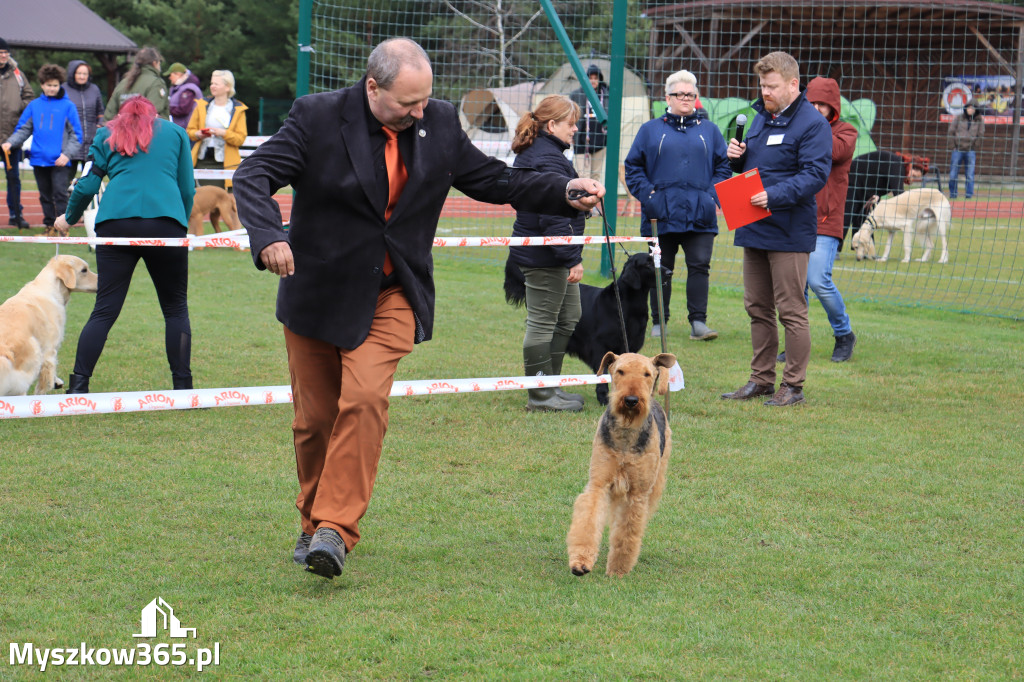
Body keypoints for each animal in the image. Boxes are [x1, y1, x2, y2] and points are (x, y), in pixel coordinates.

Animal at [501, 253, 663, 403]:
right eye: (648, 264)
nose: (667, 272)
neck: (626, 305)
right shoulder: (600, 346)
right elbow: (603, 374)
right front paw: (603, 397)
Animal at [573, 350, 675, 573]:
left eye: (646, 374)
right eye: (620, 371)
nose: (631, 400)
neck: (626, 432)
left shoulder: (637, 493)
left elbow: (627, 533)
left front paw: (618, 570)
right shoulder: (599, 483)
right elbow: (588, 521)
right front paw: (580, 562)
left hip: (654, 483)